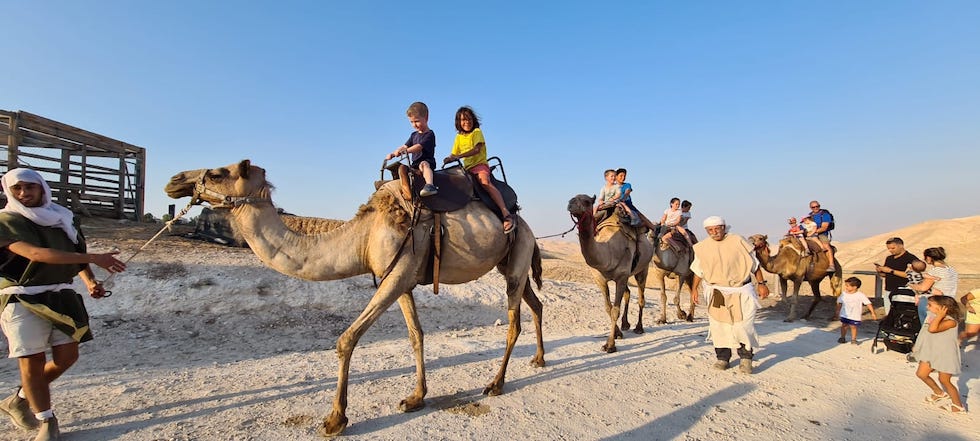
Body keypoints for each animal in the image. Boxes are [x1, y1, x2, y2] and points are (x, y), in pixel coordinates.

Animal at [169, 160, 552, 434]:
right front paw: (415, 398)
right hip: (512, 263)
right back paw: (538, 359)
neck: (364, 236)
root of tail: (524, 222)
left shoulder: (396, 275)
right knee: (535, 303)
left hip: (516, 255)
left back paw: (496, 384)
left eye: (217, 172)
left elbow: (347, 339)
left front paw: (335, 419)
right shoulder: (401, 279)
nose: (175, 180)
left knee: (514, 320)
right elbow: (416, 335)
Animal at [568, 192, 652, 350]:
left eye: (587, 201)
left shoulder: (621, 277)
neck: (609, 250)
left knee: (641, 298)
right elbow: (608, 307)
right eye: (572, 198)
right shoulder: (600, 279)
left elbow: (615, 310)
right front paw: (618, 334)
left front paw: (610, 345)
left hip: (643, 268)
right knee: (628, 293)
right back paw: (625, 325)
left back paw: (639, 328)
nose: (570, 203)